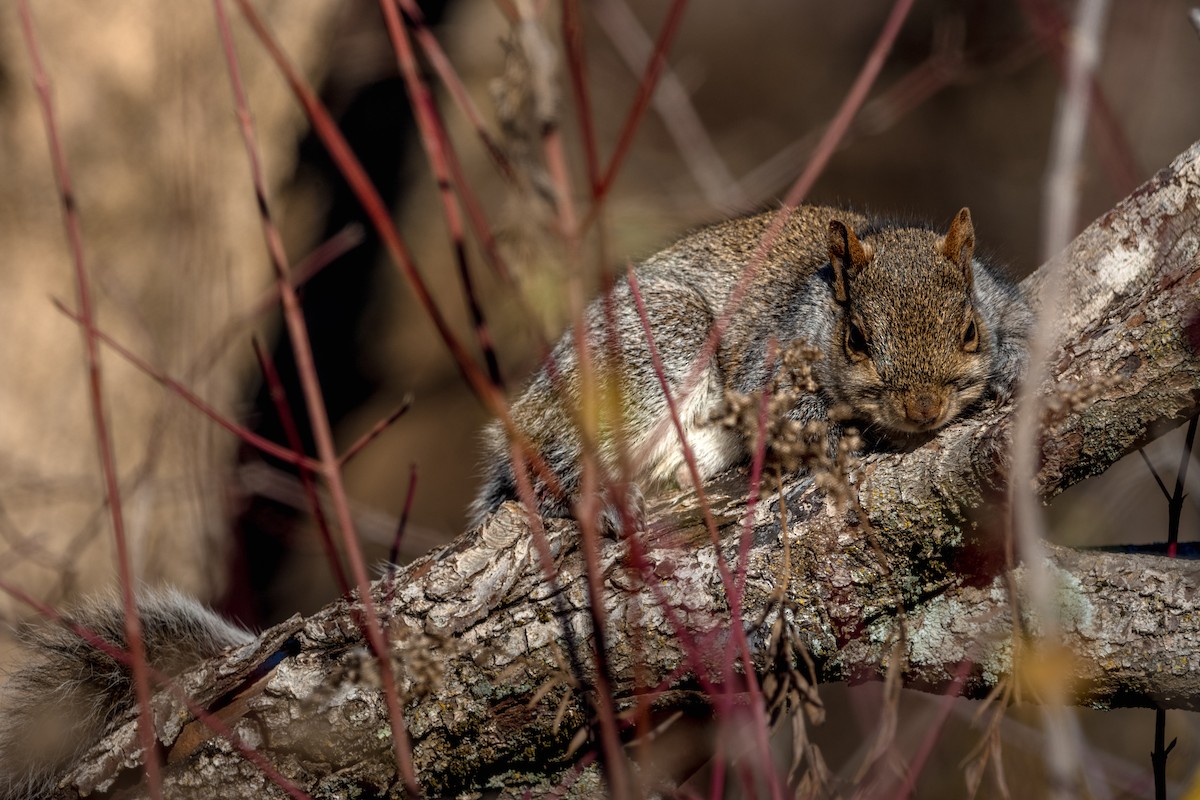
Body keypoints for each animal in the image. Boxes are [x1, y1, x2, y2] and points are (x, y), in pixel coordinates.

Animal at [472, 205, 1031, 525]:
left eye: (970, 331)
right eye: (856, 339)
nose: (924, 410)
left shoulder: (1002, 300)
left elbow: (1023, 325)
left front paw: (1011, 369)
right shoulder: (770, 365)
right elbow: (795, 417)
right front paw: (853, 439)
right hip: (654, 345)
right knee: (548, 460)